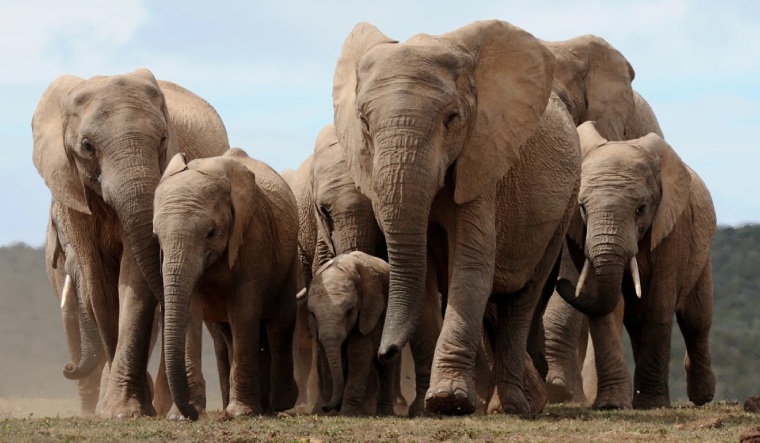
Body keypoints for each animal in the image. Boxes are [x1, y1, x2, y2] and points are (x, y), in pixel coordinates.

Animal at [32, 69, 228, 417]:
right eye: (87, 146)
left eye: (163, 139)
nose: (67, 368)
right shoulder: (71, 193)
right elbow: (100, 287)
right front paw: (120, 409)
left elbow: (134, 280)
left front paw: (124, 410)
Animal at [153, 148, 300, 419]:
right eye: (157, 237)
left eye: (211, 233)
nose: (194, 414)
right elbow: (190, 311)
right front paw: (179, 417)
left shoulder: (254, 234)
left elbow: (244, 309)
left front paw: (240, 413)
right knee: (230, 332)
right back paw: (263, 406)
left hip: (289, 260)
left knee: (279, 324)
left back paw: (279, 404)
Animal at [301, 251, 397, 416]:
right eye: (312, 314)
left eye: (349, 311)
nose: (325, 407)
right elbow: (327, 353)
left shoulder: (369, 308)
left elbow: (358, 351)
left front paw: (348, 413)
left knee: (384, 364)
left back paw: (384, 413)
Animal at [333, 20, 581, 415]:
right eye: (364, 123)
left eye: (452, 119)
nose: (386, 352)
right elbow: (427, 277)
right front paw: (429, 408)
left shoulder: (482, 160)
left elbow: (471, 265)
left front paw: (449, 401)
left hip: (566, 202)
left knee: (521, 298)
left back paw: (512, 407)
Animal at [554, 121, 716, 410]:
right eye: (582, 207)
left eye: (641, 208)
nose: (561, 281)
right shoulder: (579, 233)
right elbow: (606, 305)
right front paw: (611, 405)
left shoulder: (674, 228)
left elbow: (660, 303)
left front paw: (652, 404)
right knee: (638, 321)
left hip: (702, 251)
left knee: (696, 321)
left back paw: (702, 397)